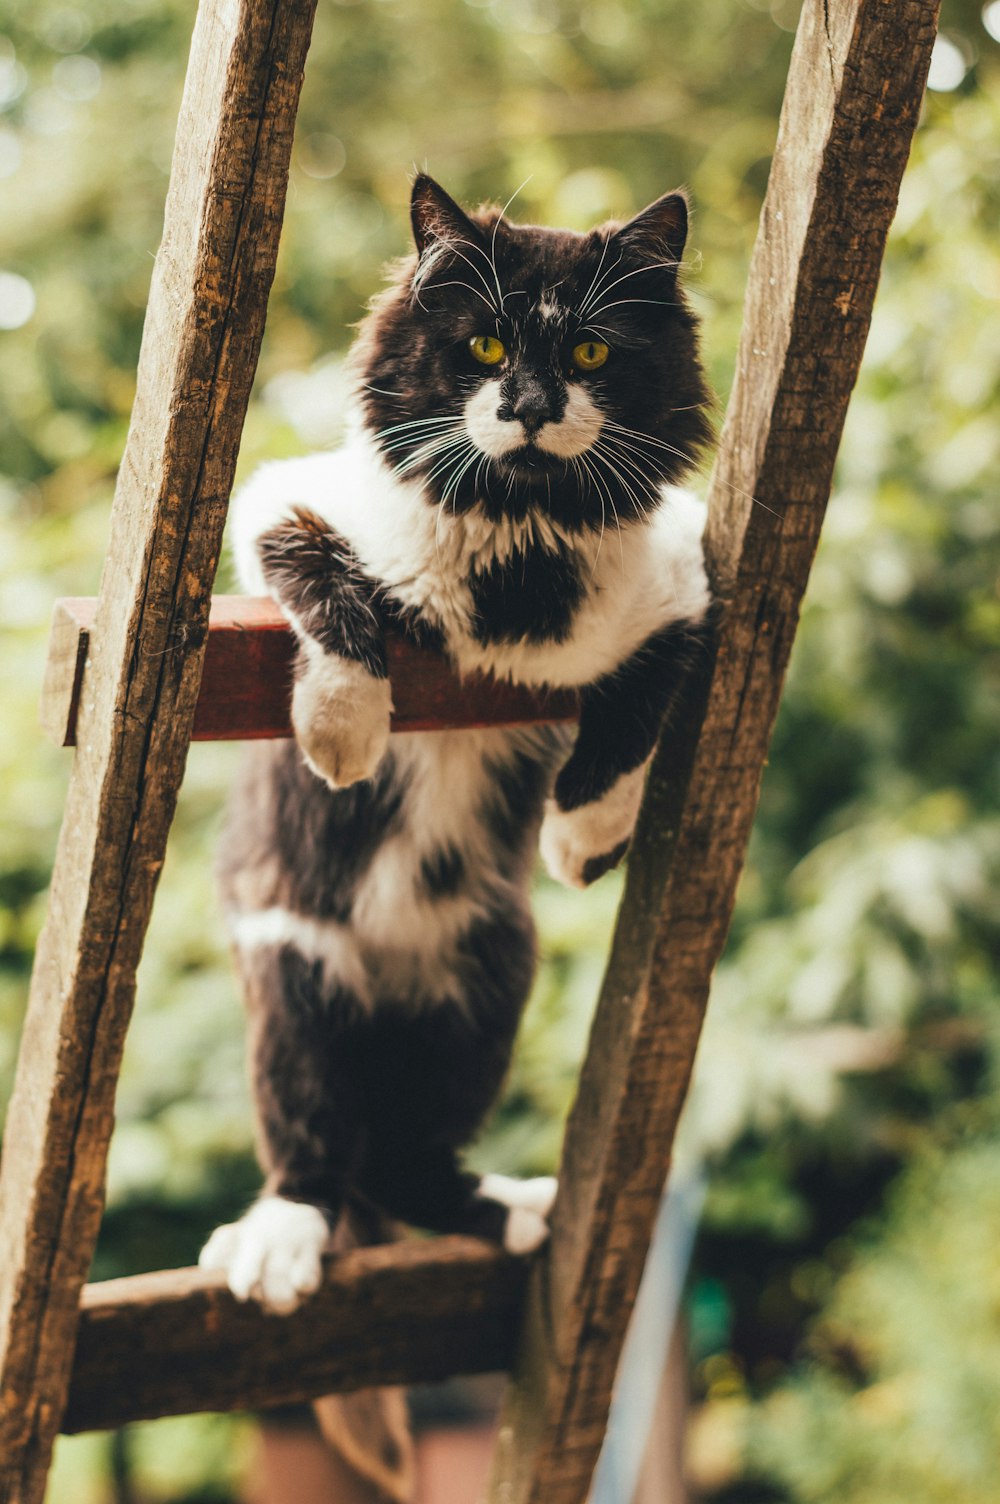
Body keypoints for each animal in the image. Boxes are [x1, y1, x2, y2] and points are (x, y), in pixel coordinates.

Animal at [198, 172, 709, 1317]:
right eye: (483, 346)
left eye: (591, 354)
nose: (529, 407)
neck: (517, 535)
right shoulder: (279, 501)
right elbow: (328, 586)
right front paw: (343, 732)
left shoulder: (683, 586)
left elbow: (637, 700)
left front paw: (584, 836)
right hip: (296, 976)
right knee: (314, 1150)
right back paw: (280, 1244)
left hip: (490, 978)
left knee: (404, 1160)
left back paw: (507, 1211)